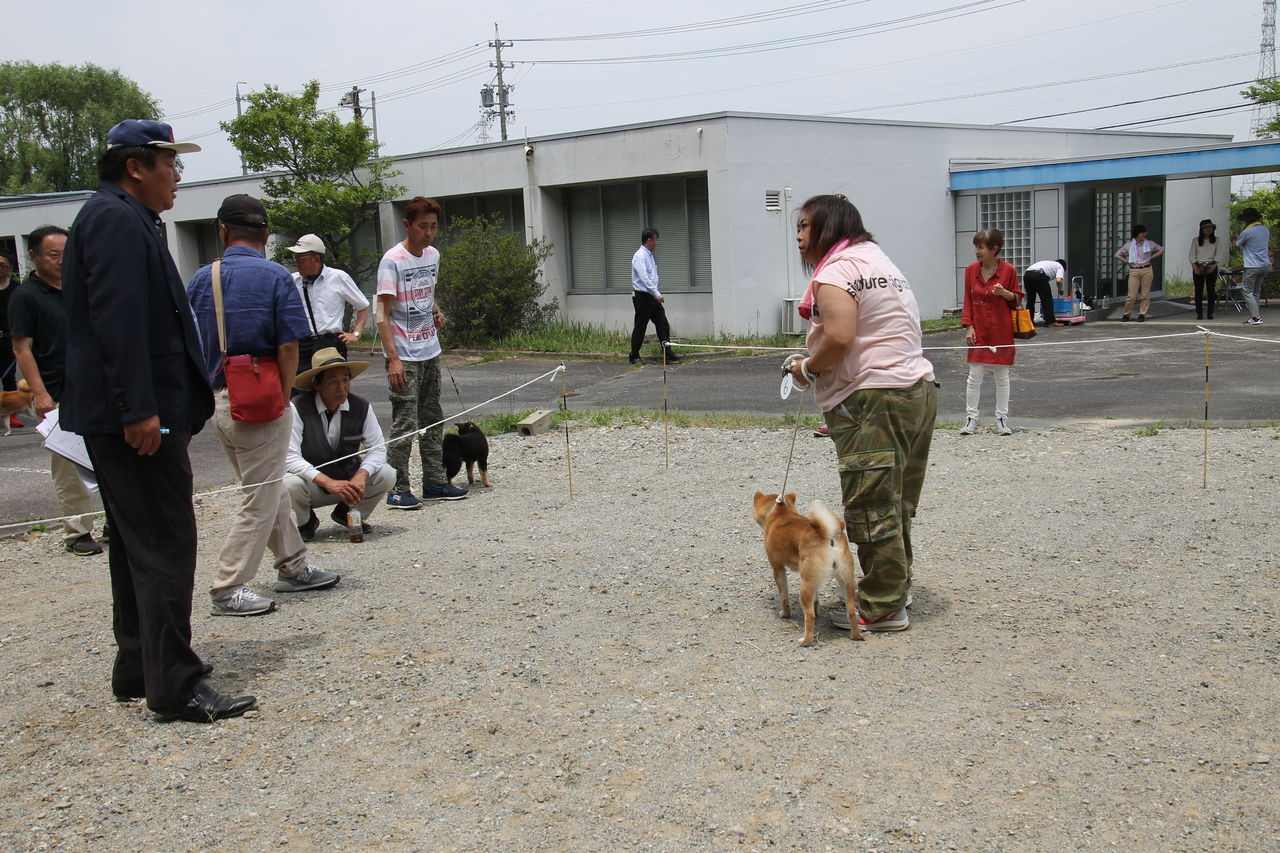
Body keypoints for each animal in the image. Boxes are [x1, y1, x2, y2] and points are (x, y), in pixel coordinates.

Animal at [752, 491, 860, 644]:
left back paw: (805, 641)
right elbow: (816, 599)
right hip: (846, 582)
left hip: (805, 585)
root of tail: (829, 537)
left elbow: (784, 597)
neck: (780, 513)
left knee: (809, 615)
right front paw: (817, 608)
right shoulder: (815, 581)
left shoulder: (778, 569)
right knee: (851, 612)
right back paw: (856, 635)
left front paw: (785, 613)